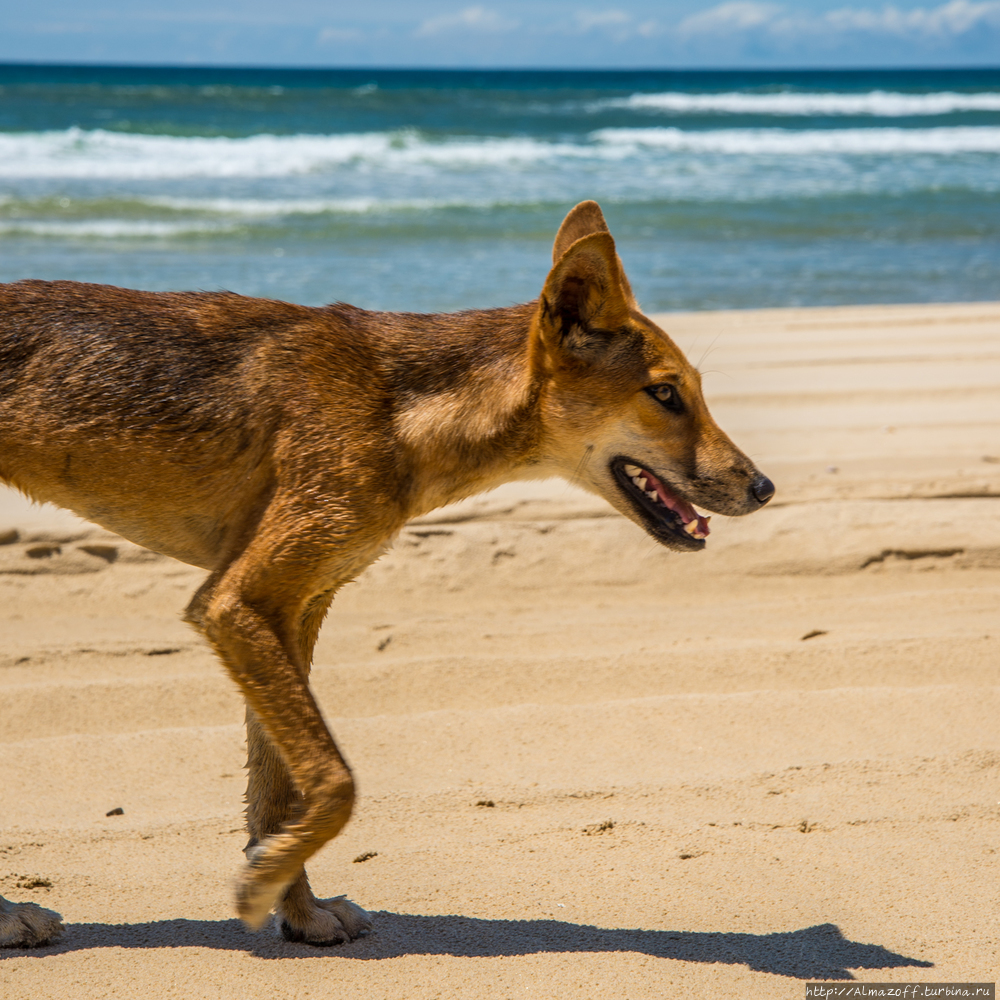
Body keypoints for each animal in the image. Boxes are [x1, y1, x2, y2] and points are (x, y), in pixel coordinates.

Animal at [0, 201, 772, 944]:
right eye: (666, 395)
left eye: (692, 392)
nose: (764, 487)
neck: (400, 411)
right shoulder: (237, 602)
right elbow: (337, 783)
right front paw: (263, 885)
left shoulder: (290, 611)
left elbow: (286, 787)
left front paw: (298, 909)